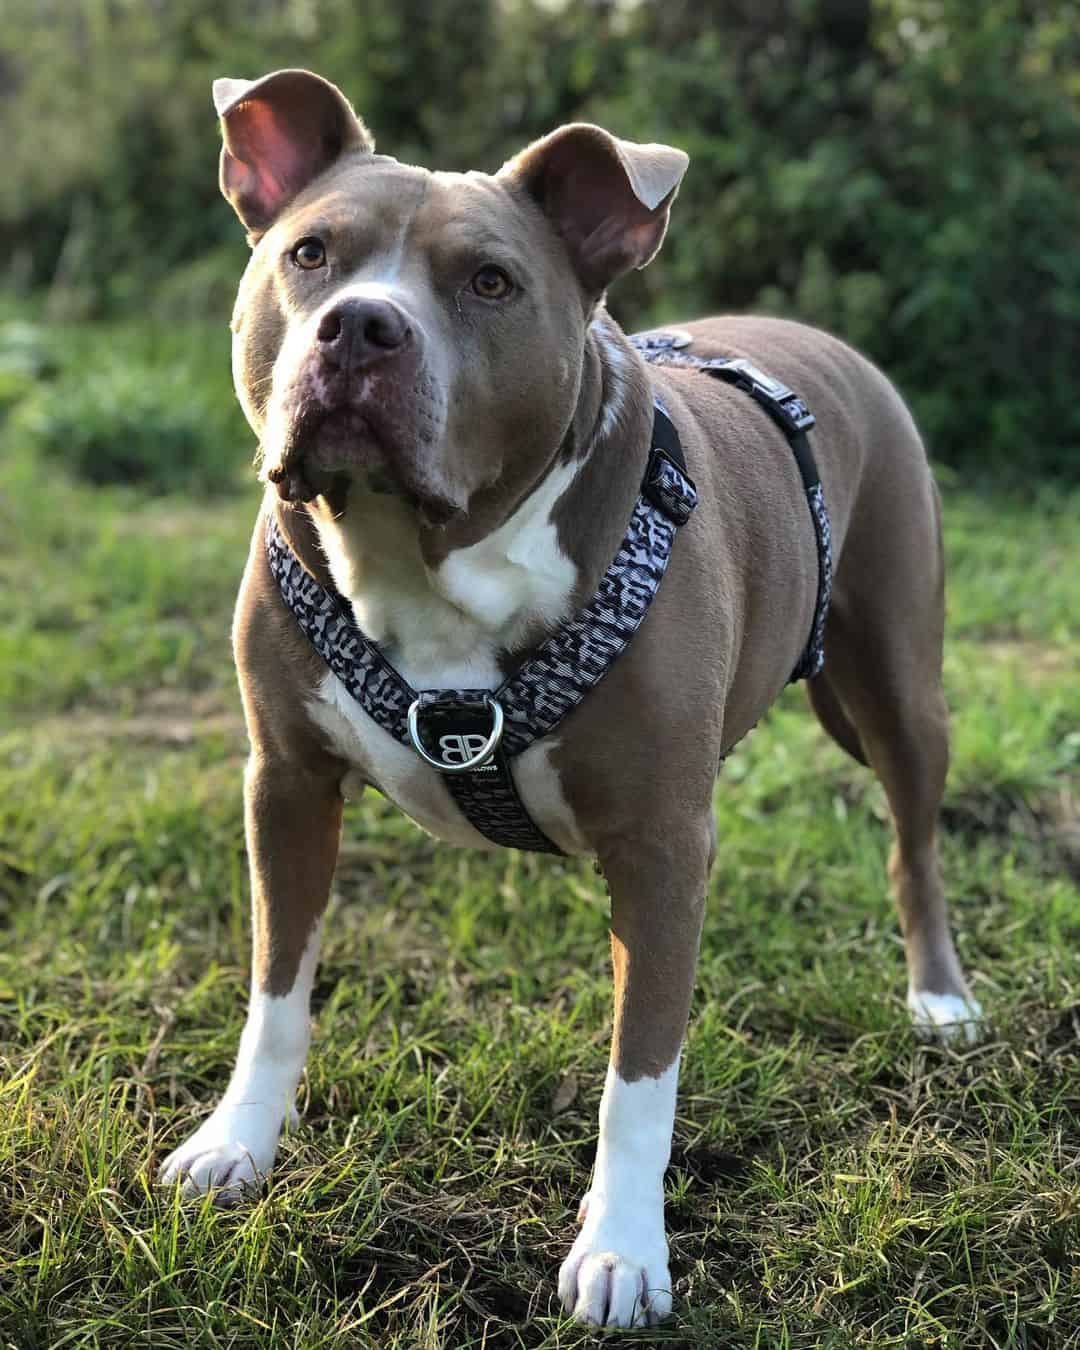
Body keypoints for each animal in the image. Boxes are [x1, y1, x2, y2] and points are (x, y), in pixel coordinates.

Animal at [155, 68, 982, 1323]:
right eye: (310, 254)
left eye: (490, 283)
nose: (361, 325)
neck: (422, 553)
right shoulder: (286, 784)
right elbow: (276, 992)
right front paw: (237, 1144)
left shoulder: (660, 841)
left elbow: (640, 1074)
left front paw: (624, 1249)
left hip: (897, 683)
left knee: (913, 841)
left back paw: (938, 998)